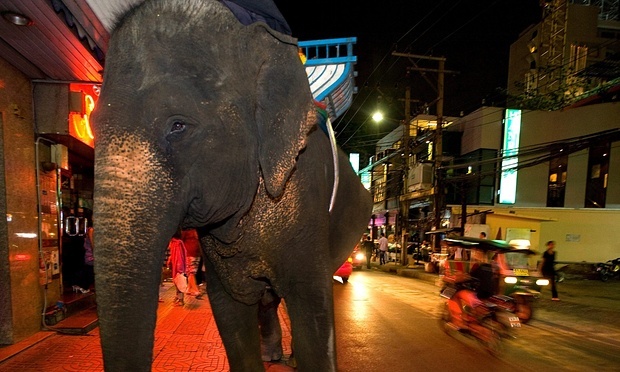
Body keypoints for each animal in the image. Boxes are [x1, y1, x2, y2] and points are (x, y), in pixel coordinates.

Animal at [91, 0, 372, 372]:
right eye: (93, 125)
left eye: (178, 126)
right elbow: (230, 312)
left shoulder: (306, 195)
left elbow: (312, 310)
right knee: (267, 299)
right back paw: (272, 354)